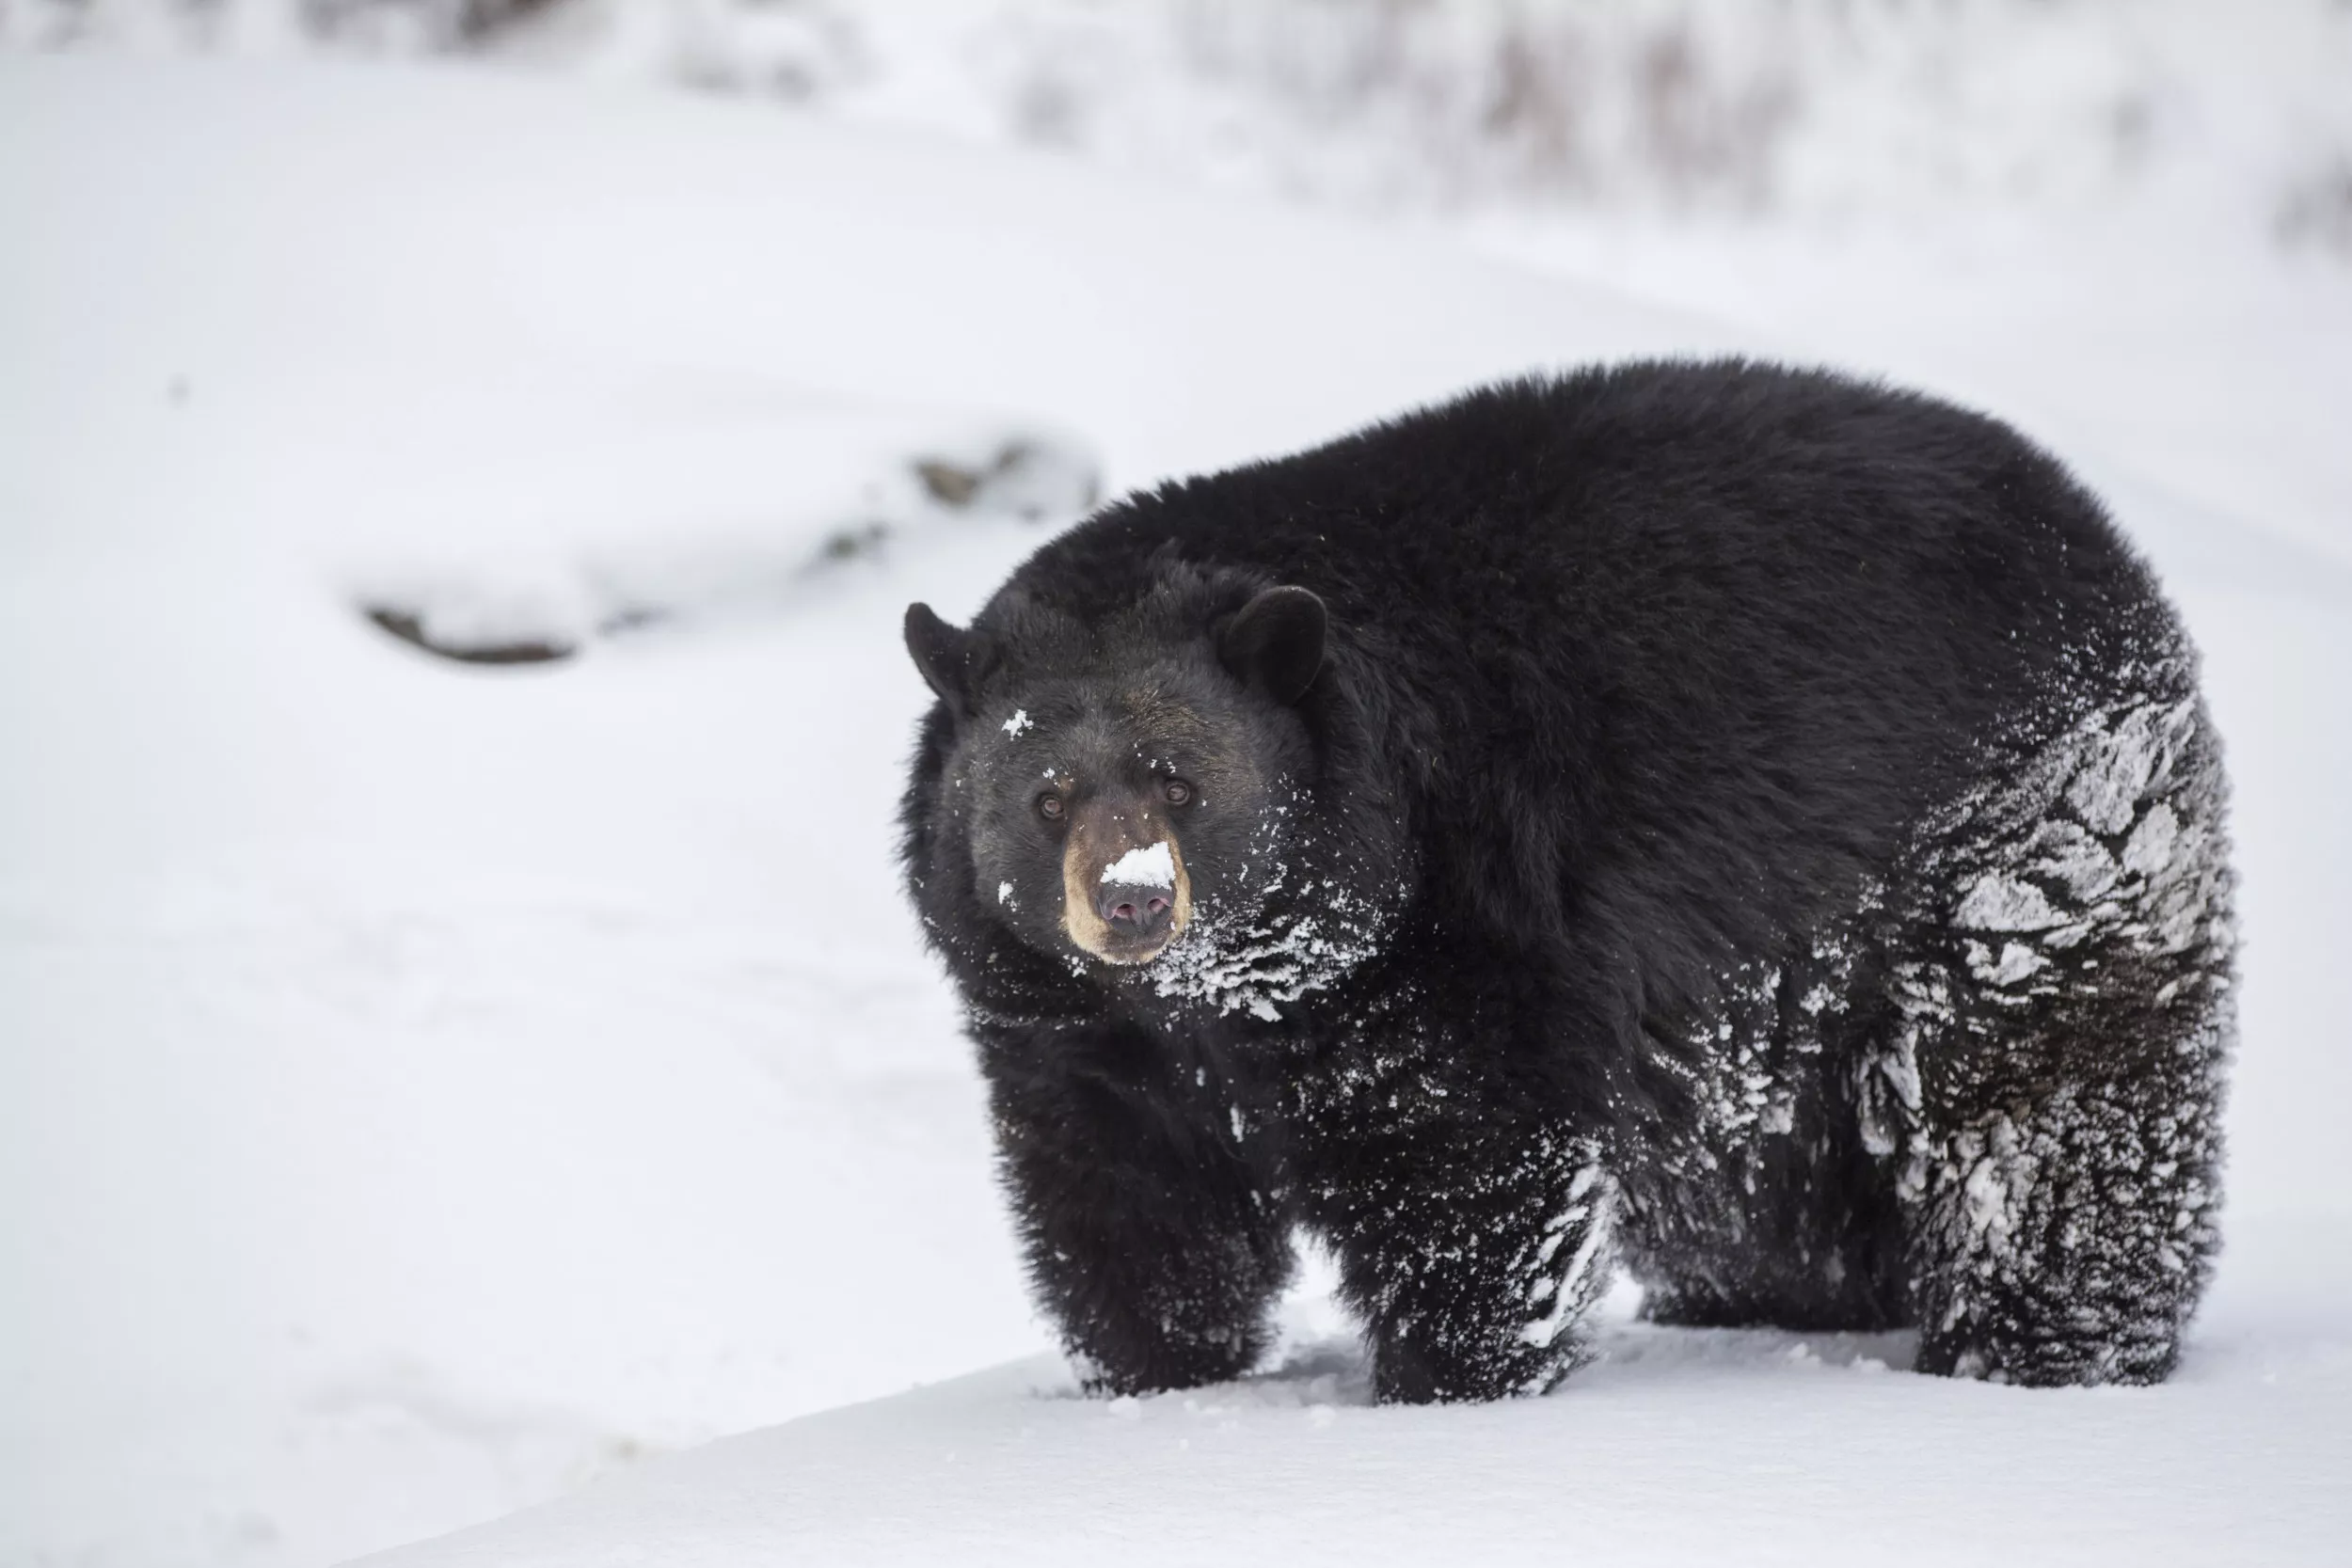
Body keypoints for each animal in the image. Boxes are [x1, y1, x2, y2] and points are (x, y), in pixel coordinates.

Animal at [898, 359, 2235, 1403]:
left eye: (1178, 780)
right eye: (1046, 797)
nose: (1130, 901)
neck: (1231, 989)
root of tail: (2095, 533)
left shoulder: (1458, 919)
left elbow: (1468, 1164)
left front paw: (1448, 1381)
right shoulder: (1074, 1034)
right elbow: (1127, 1205)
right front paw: (1157, 1381)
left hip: (2022, 838)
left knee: (2039, 1110)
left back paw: (2046, 1345)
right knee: (1758, 1192)